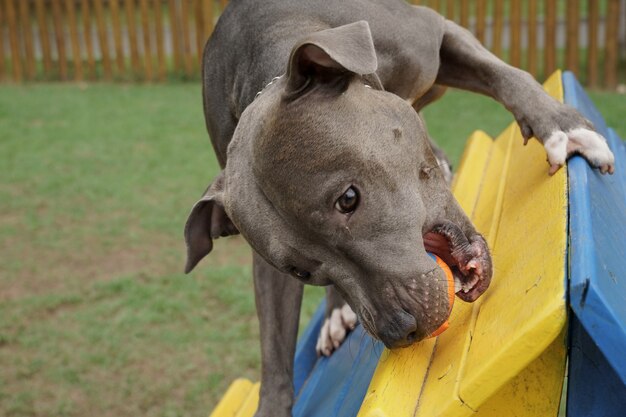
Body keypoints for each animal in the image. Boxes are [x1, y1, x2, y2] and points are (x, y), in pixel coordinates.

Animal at [183, 1, 612, 414]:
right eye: (301, 271)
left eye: (348, 198)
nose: (400, 329)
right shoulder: (270, 272)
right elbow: (274, 347)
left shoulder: (438, 33)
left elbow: (503, 74)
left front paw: (561, 126)